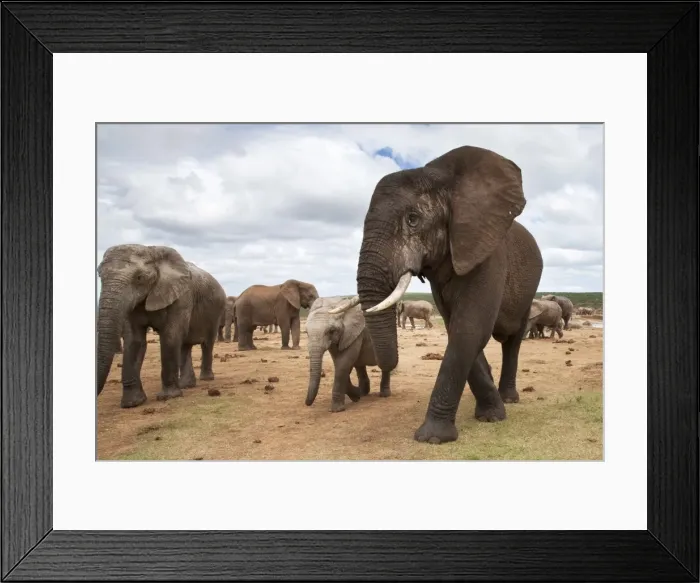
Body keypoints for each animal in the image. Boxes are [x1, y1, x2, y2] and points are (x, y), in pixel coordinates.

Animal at [96, 244, 227, 408]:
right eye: (99, 275)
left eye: (140, 278)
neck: (152, 252)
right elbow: (134, 341)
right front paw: (132, 403)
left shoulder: (181, 297)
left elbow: (170, 336)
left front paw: (168, 397)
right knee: (185, 345)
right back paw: (186, 385)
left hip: (216, 310)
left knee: (206, 344)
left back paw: (205, 379)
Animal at [330, 145, 543, 444]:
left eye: (413, 219)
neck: (444, 179)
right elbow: (457, 329)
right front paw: (488, 413)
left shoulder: (487, 253)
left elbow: (469, 328)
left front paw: (434, 437)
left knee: (512, 340)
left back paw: (510, 398)